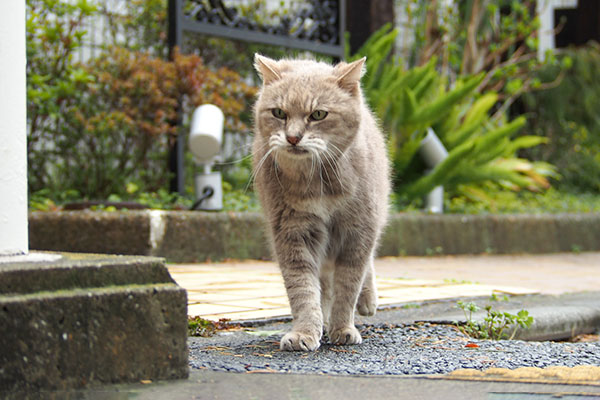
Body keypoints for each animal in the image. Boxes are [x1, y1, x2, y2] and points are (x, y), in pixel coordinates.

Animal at [252, 54, 390, 350]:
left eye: (318, 114)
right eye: (279, 113)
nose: (293, 137)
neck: (317, 184)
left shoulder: (358, 232)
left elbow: (349, 285)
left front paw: (343, 328)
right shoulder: (293, 233)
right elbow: (303, 289)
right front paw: (305, 332)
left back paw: (367, 300)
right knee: (324, 284)